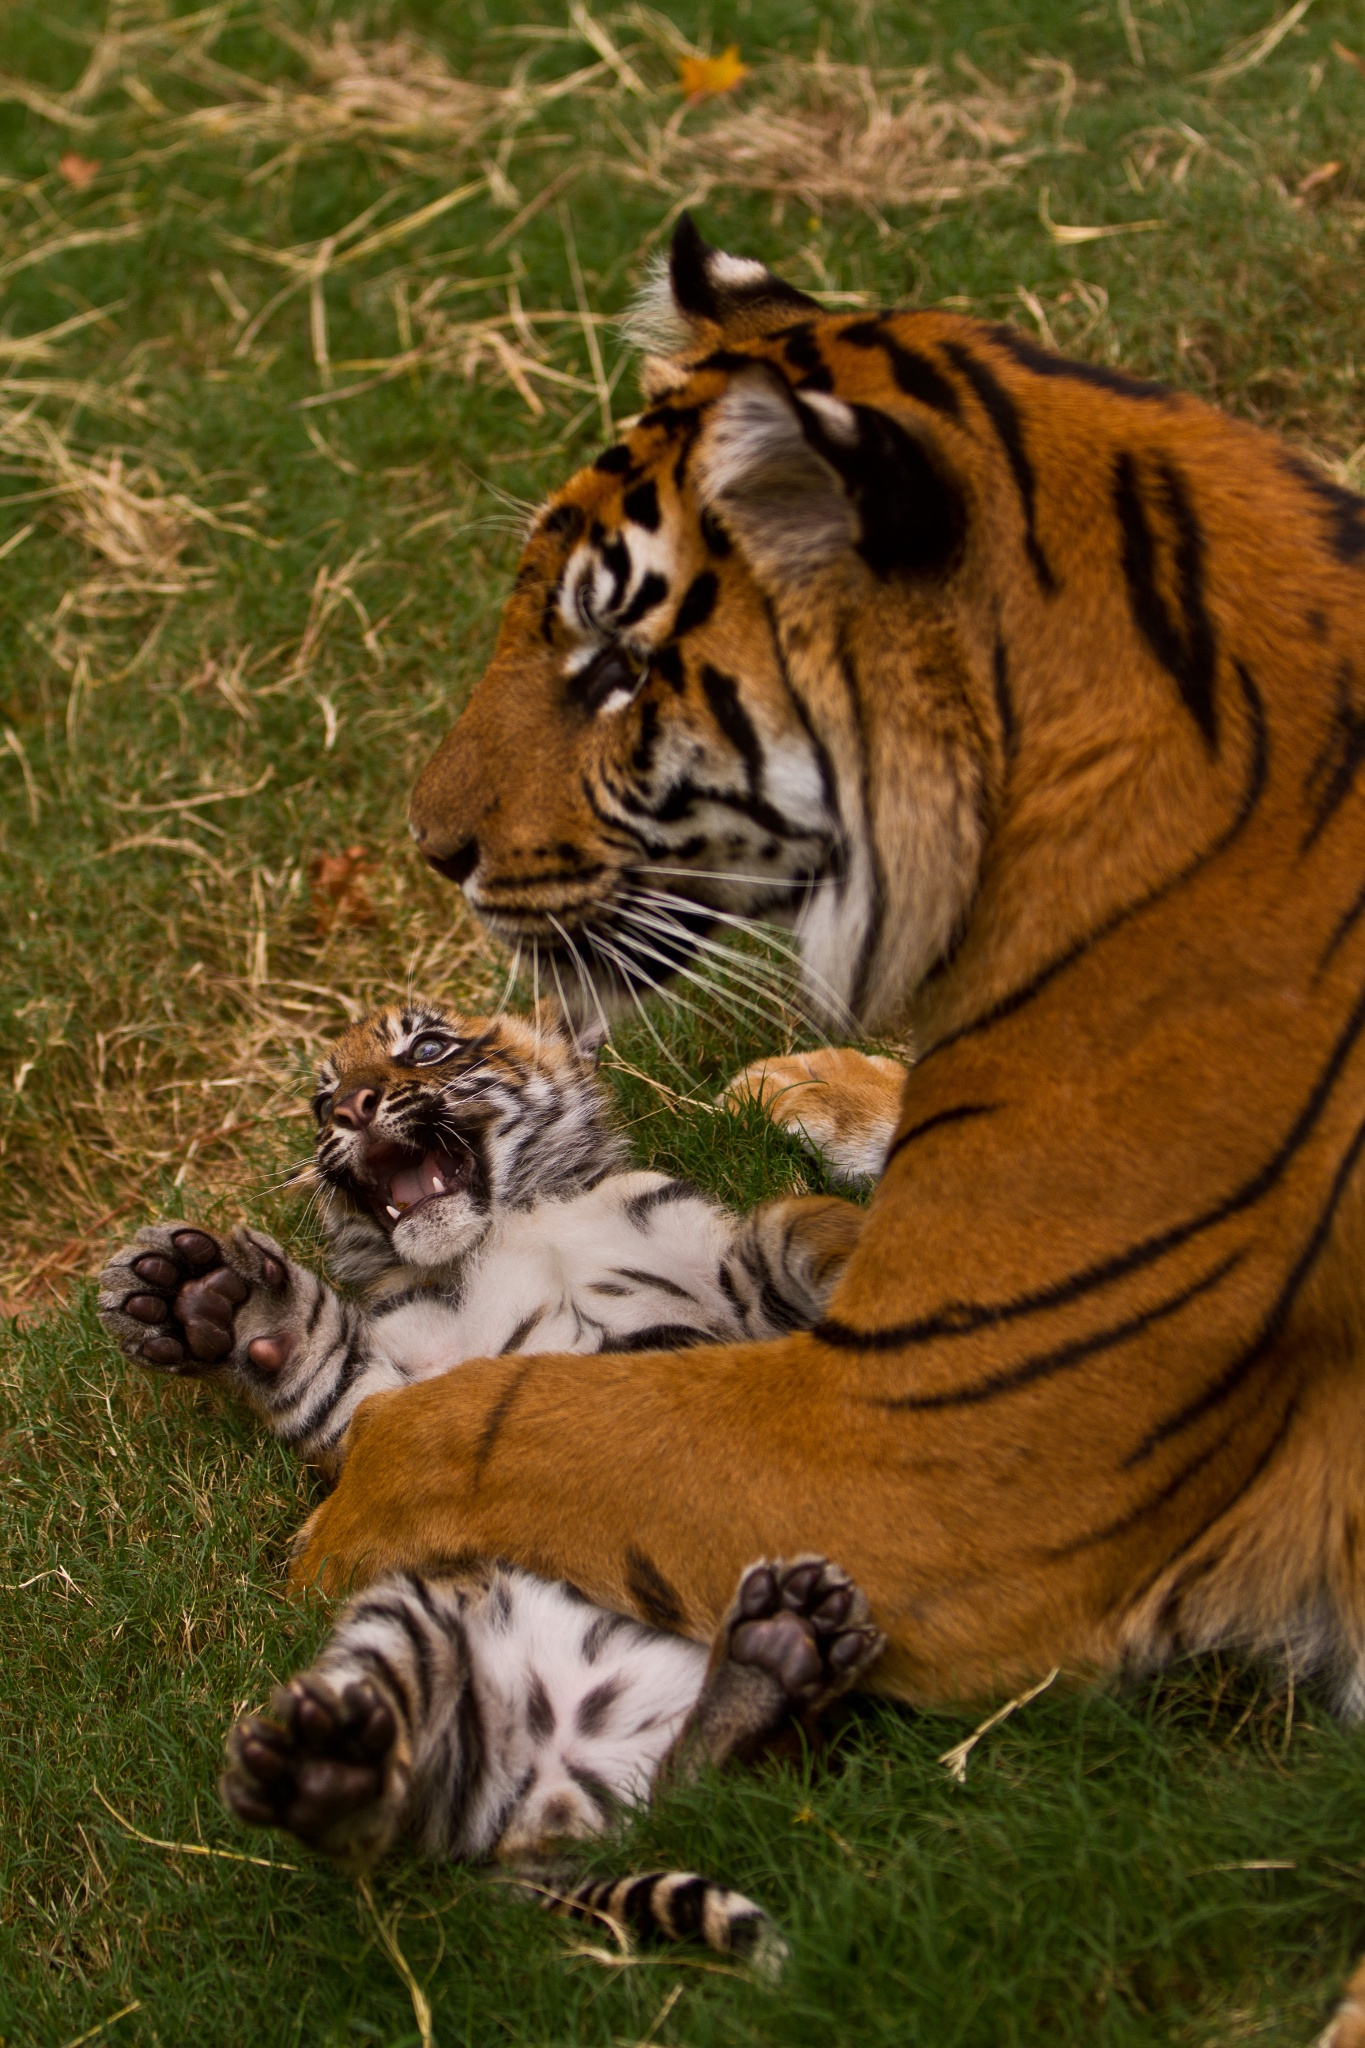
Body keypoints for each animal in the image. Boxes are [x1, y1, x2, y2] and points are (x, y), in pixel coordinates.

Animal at [294, 220, 1365, 2031]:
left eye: (611, 666)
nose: (428, 846)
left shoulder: (923, 1465)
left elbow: (495, 1413)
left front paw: (326, 1525)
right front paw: (819, 1093)